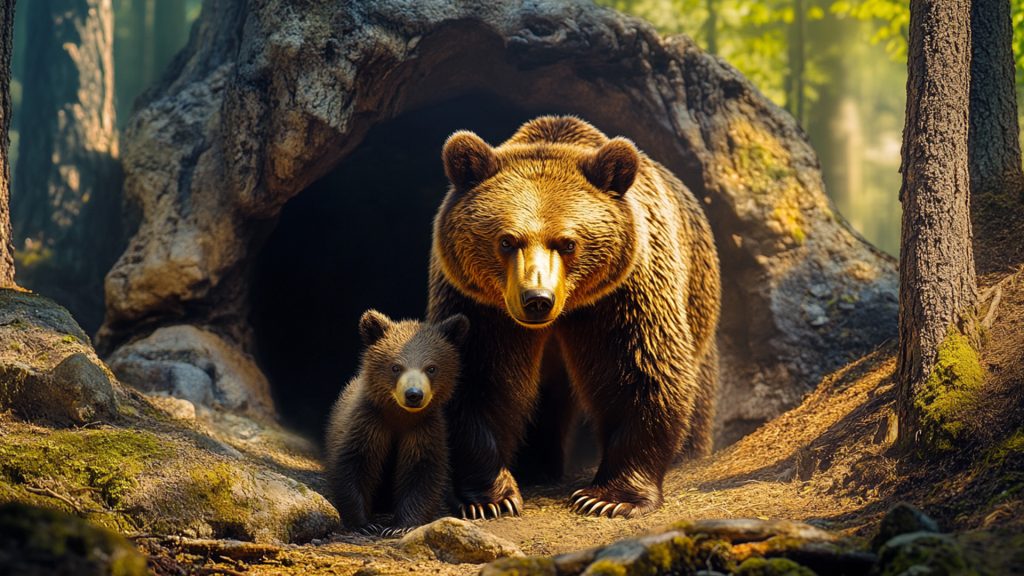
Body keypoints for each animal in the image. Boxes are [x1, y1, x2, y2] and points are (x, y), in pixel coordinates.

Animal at [324, 309, 470, 535]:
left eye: (431, 368)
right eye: (395, 366)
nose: (413, 395)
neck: (399, 417)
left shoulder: (423, 431)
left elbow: (421, 475)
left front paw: (400, 526)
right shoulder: (368, 424)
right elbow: (352, 466)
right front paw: (364, 523)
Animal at [428, 115, 721, 519]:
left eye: (568, 242)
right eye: (506, 240)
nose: (537, 299)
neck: (567, 310)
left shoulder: (622, 296)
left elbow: (640, 372)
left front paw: (609, 498)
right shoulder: (478, 305)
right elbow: (477, 377)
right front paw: (490, 498)